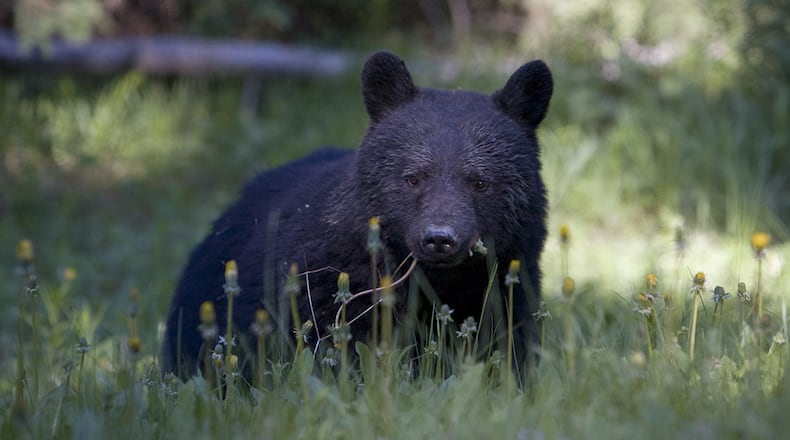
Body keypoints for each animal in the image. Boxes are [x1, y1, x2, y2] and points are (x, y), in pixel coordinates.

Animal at [162, 51, 553, 384]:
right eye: (413, 177)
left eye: (480, 182)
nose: (440, 238)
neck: (440, 280)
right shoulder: (330, 288)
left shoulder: (508, 286)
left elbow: (508, 344)